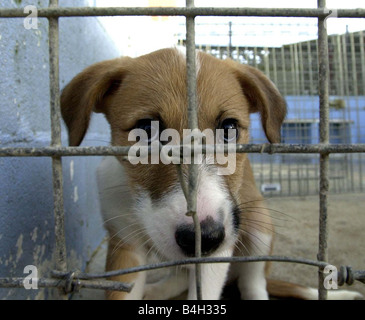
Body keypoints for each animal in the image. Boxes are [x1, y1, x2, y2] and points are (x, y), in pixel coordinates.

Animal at [60, 47, 362, 300]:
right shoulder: (124, 245)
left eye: (228, 128)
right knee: (182, 274)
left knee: (253, 283)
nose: (203, 238)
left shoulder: (220, 250)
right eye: (146, 131)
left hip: (259, 224)